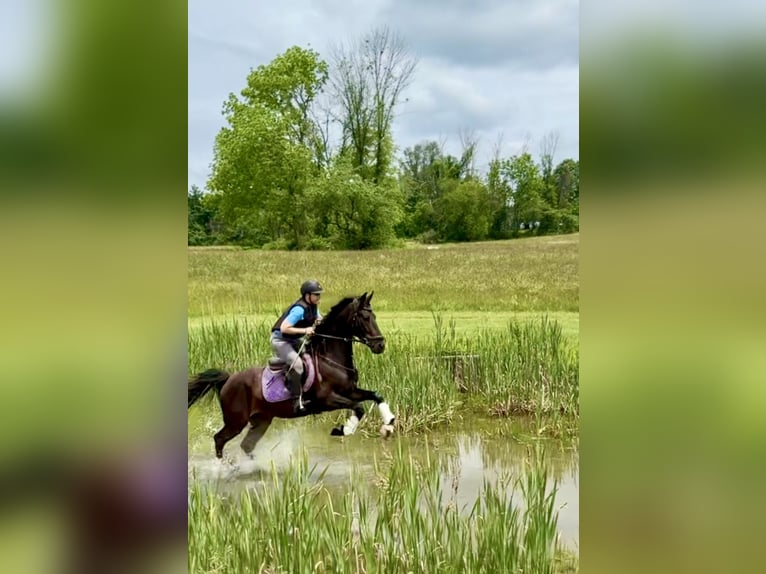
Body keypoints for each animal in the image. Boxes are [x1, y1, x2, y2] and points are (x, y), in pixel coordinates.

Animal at [187, 292, 396, 459]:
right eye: (364, 317)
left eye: (374, 315)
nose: (380, 345)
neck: (329, 359)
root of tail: (228, 379)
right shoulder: (327, 399)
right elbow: (358, 407)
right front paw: (343, 430)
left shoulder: (350, 391)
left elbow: (376, 396)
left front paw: (388, 425)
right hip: (236, 421)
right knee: (219, 439)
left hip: (261, 419)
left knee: (246, 444)